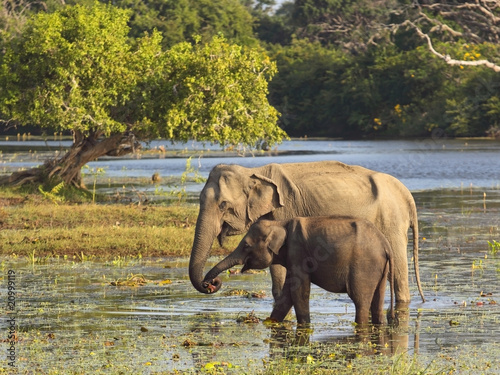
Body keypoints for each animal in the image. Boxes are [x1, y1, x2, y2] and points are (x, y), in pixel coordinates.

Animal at [189, 160, 424, 310]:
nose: (211, 283)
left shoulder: (286, 210)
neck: (253, 170)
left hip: (391, 221)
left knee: (398, 270)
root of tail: (407, 195)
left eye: (223, 205)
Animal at [202, 217, 394, 326]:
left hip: (364, 267)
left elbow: (299, 291)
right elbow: (288, 293)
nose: (211, 284)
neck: (280, 223)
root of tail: (385, 245)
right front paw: (270, 322)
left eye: (247, 246)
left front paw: (304, 326)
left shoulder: (298, 251)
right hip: (379, 269)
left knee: (360, 301)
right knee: (377, 301)